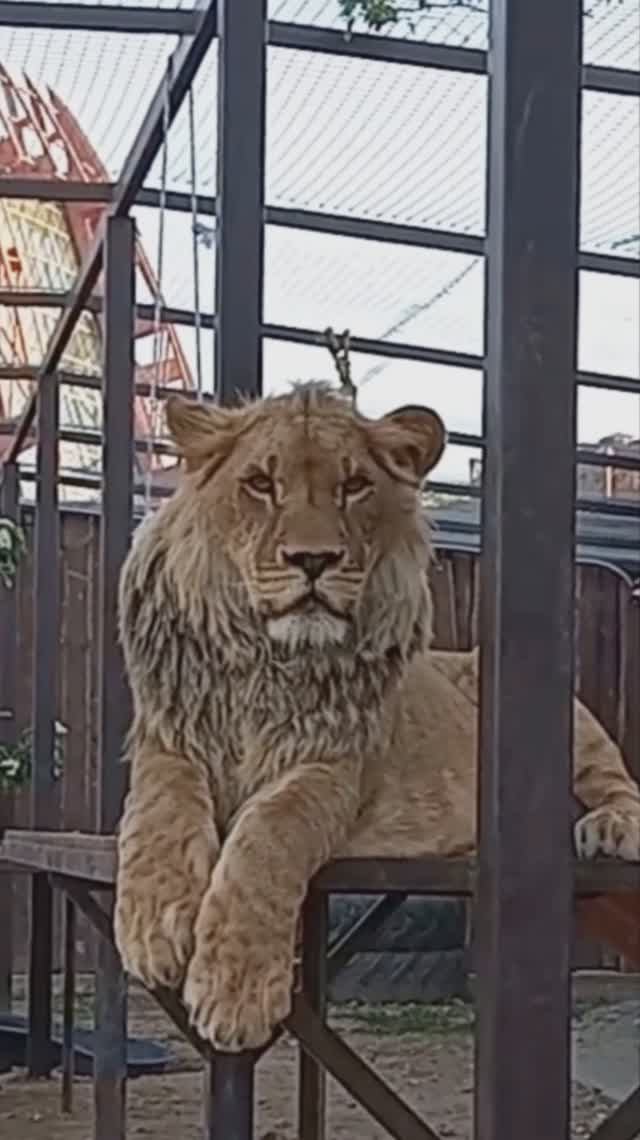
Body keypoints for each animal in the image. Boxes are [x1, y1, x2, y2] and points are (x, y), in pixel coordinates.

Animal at [114, 383, 640, 1052]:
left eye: (354, 485)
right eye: (260, 483)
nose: (313, 559)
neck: (269, 662)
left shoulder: (332, 766)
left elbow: (268, 836)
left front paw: (235, 991)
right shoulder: (169, 739)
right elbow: (159, 809)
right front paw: (152, 924)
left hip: (559, 713)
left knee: (620, 786)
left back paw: (609, 828)